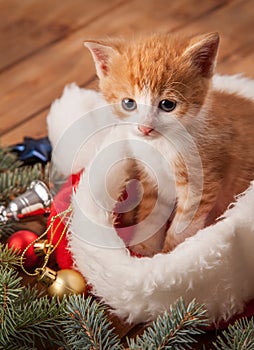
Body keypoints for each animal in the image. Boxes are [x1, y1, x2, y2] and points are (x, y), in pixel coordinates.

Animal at [84, 32, 254, 256]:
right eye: (128, 103)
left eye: (167, 105)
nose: (145, 128)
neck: (161, 144)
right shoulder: (151, 177)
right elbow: (151, 212)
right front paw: (144, 249)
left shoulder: (201, 186)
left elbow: (182, 229)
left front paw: (170, 254)